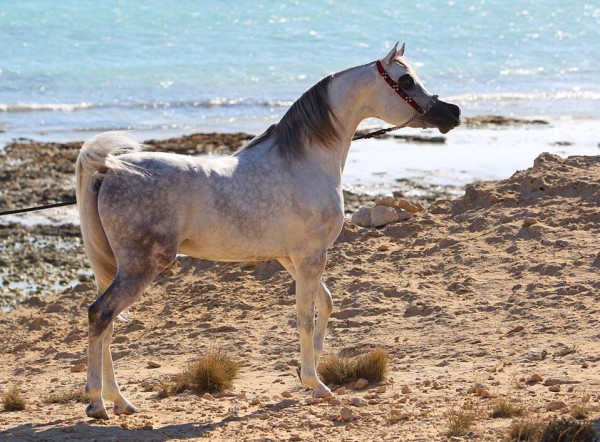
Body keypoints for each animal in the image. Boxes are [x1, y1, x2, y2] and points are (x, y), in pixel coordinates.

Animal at [75, 43, 460, 420]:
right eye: (406, 80)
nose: (452, 112)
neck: (303, 161)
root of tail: (110, 168)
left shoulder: (291, 257)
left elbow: (325, 303)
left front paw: (306, 371)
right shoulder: (310, 255)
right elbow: (305, 317)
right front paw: (316, 383)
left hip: (118, 269)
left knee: (108, 324)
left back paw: (119, 401)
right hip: (140, 267)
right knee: (100, 315)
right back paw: (97, 404)